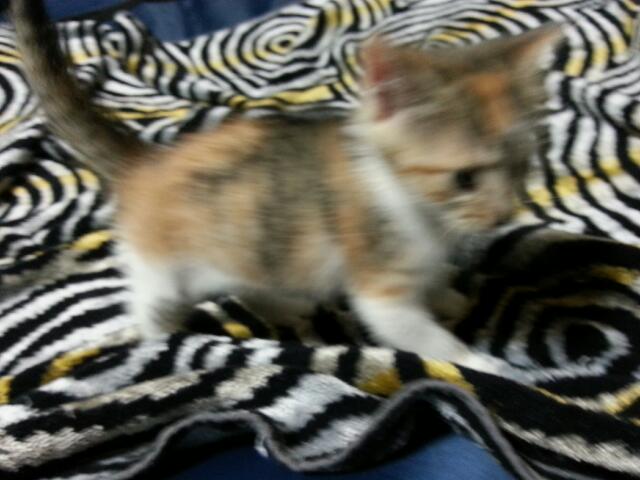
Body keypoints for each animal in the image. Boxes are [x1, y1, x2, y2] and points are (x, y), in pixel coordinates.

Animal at [10, 0, 560, 371]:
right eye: (464, 178)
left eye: (520, 165)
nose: (503, 214)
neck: (415, 206)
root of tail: (149, 164)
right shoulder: (377, 275)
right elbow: (411, 329)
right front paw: (481, 362)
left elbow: (432, 282)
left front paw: (445, 293)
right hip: (162, 267)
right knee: (152, 304)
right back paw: (160, 341)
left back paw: (287, 305)